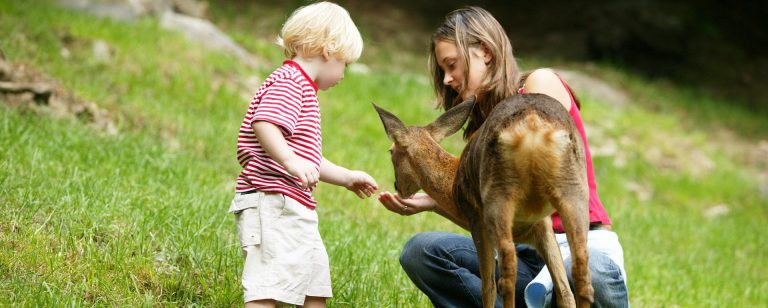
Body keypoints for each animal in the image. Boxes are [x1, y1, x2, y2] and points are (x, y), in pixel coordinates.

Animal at [372, 92, 592, 306]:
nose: (397, 187)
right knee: (581, 270)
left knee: (506, 272)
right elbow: (564, 290)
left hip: (498, 194)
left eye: (391, 151)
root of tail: (533, 122)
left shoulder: (477, 222)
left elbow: (488, 287)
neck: (453, 186)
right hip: (574, 189)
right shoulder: (543, 224)